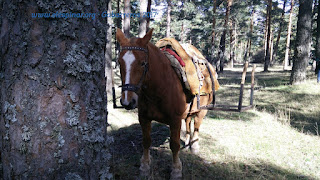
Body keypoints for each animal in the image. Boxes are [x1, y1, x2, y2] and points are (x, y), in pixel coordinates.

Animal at [116, 28, 216, 179]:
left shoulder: (175, 120)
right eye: (119, 62)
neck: (159, 88)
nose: (127, 101)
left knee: (197, 126)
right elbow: (146, 141)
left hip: (202, 111)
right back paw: (187, 142)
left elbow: (174, 145)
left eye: (142, 63)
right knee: (188, 122)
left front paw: (176, 170)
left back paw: (194, 146)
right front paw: (145, 166)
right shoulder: (144, 118)